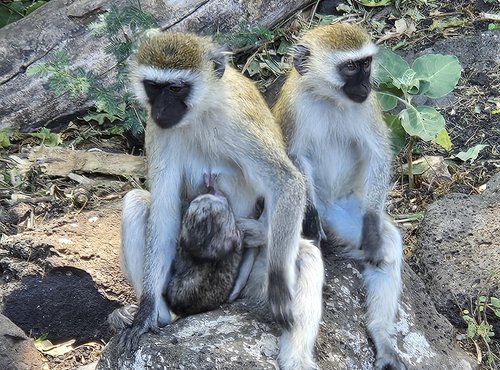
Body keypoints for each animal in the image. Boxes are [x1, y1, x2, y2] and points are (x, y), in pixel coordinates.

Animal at [116, 32, 324, 370]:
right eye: (154, 87)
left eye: (176, 88)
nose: (161, 110)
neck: (201, 112)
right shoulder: (158, 131)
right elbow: (163, 211)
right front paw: (144, 313)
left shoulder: (239, 123)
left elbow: (287, 182)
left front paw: (280, 291)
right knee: (136, 202)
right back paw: (160, 317)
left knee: (306, 256)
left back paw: (297, 358)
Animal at [274, 23, 406, 370]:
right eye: (349, 67)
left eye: (366, 64)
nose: (366, 84)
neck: (327, 97)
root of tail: (330, 205)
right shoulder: (294, 107)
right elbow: (295, 156)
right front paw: (308, 216)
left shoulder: (368, 105)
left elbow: (378, 154)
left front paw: (372, 228)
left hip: (343, 209)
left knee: (387, 245)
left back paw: (381, 335)